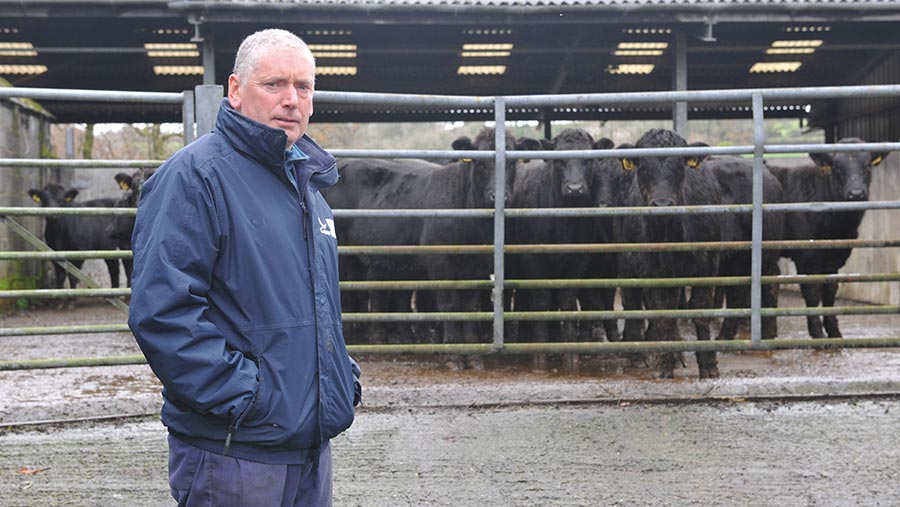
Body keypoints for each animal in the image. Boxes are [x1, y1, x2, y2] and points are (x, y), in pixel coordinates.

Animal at [616, 129, 720, 380]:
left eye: (680, 165)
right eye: (643, 166)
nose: (662, 204)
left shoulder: (708, 265)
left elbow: (700, 312)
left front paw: (708, 365)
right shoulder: (650, 270)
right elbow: (663, 314)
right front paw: (664, 364)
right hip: (626, 263)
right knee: (633, 303)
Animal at [768, 138, 888, 338]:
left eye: (867, 165)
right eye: (837, 166)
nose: (856, 193)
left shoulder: (835, 256)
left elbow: (830, 291)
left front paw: (834, 332)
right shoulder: (807, 257)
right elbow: (812, 291)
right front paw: (817, 333)